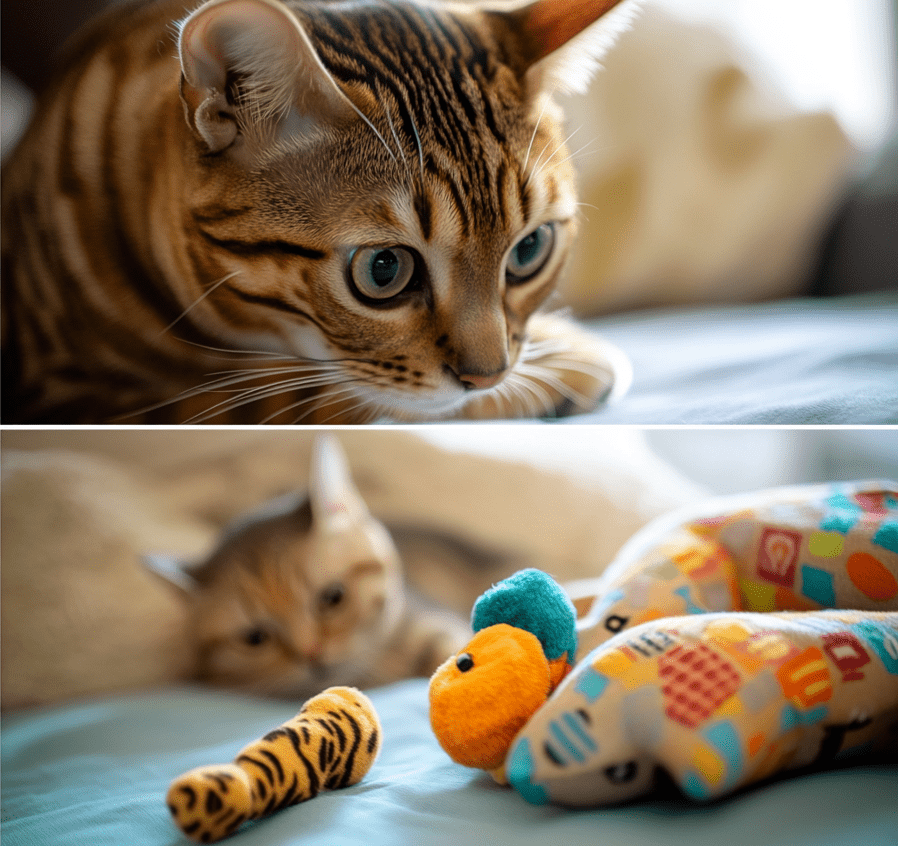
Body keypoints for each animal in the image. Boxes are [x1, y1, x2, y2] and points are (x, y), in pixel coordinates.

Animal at [0, 0, 632, 424]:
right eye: (384, 269)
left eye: (530, 249)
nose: (488, 376)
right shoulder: (80, 394)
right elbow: (319, 394)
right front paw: (561, 365)